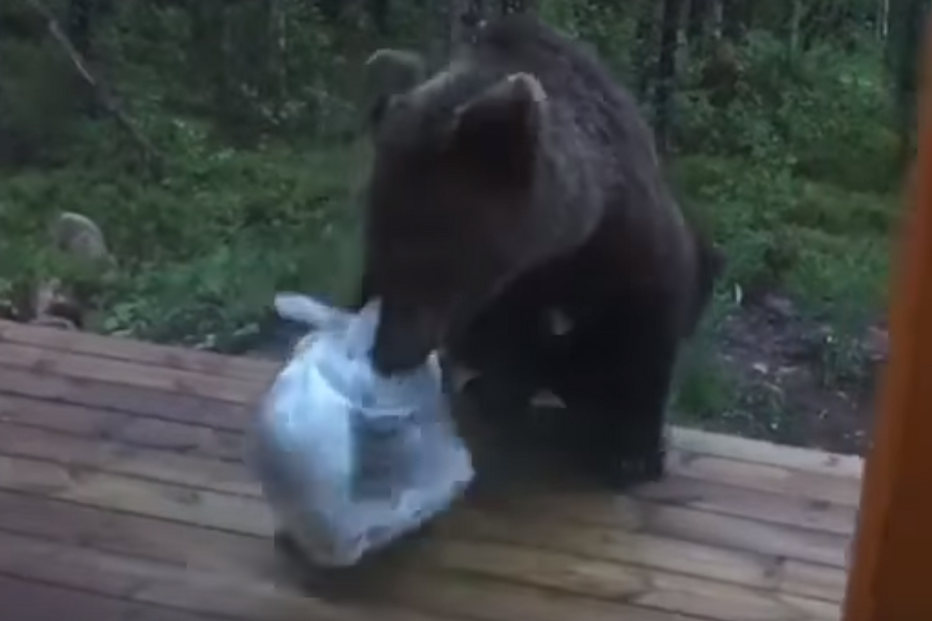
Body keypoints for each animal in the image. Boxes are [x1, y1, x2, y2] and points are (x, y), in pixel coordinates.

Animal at [354, 13, 724, 491]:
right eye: (376, 237)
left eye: (430, 251)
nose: (388, 354)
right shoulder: (511, 291)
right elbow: (506, 340)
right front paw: (499, 388)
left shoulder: (631, 245)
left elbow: (647, 328)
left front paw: (632, 453)